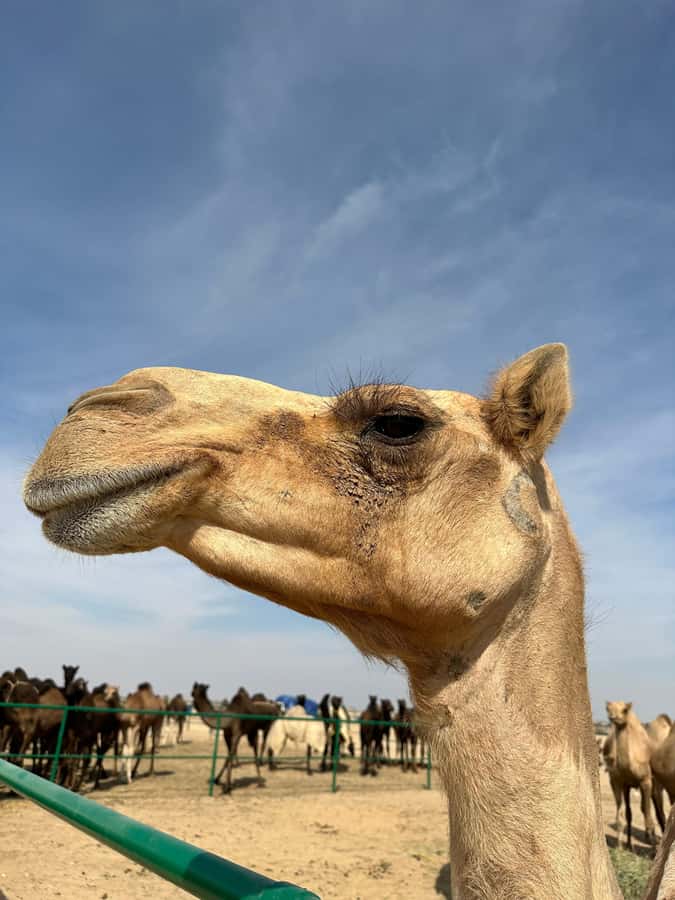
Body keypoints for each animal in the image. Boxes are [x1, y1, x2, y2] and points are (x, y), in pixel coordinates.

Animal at [605, 701, 661, 851]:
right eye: (608, 709)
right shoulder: (619, 782)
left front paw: (653, 850)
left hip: (653, 783)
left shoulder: (645, 781)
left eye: (625, 710)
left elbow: (647, 814)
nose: (613, 717)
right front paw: (621, 846)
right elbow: (624, 815)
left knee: (652, 809)